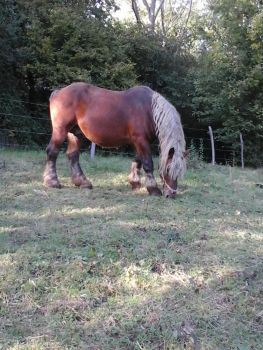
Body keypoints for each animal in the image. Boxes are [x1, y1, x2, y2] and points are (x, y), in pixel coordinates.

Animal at [43, 82, 188, 197]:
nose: (171, 194)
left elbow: (137, 161)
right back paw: (52, 182)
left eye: (180, 171)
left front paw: (134, 183)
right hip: (60, 130)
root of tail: (58, 92)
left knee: (73, 155)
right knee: (52, 151)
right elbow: (147, 163)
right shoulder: (141, 140)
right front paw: (153, 189)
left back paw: (83, 182)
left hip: (75, 134)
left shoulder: (138, 141)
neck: (149, 110)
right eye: (168, 169)